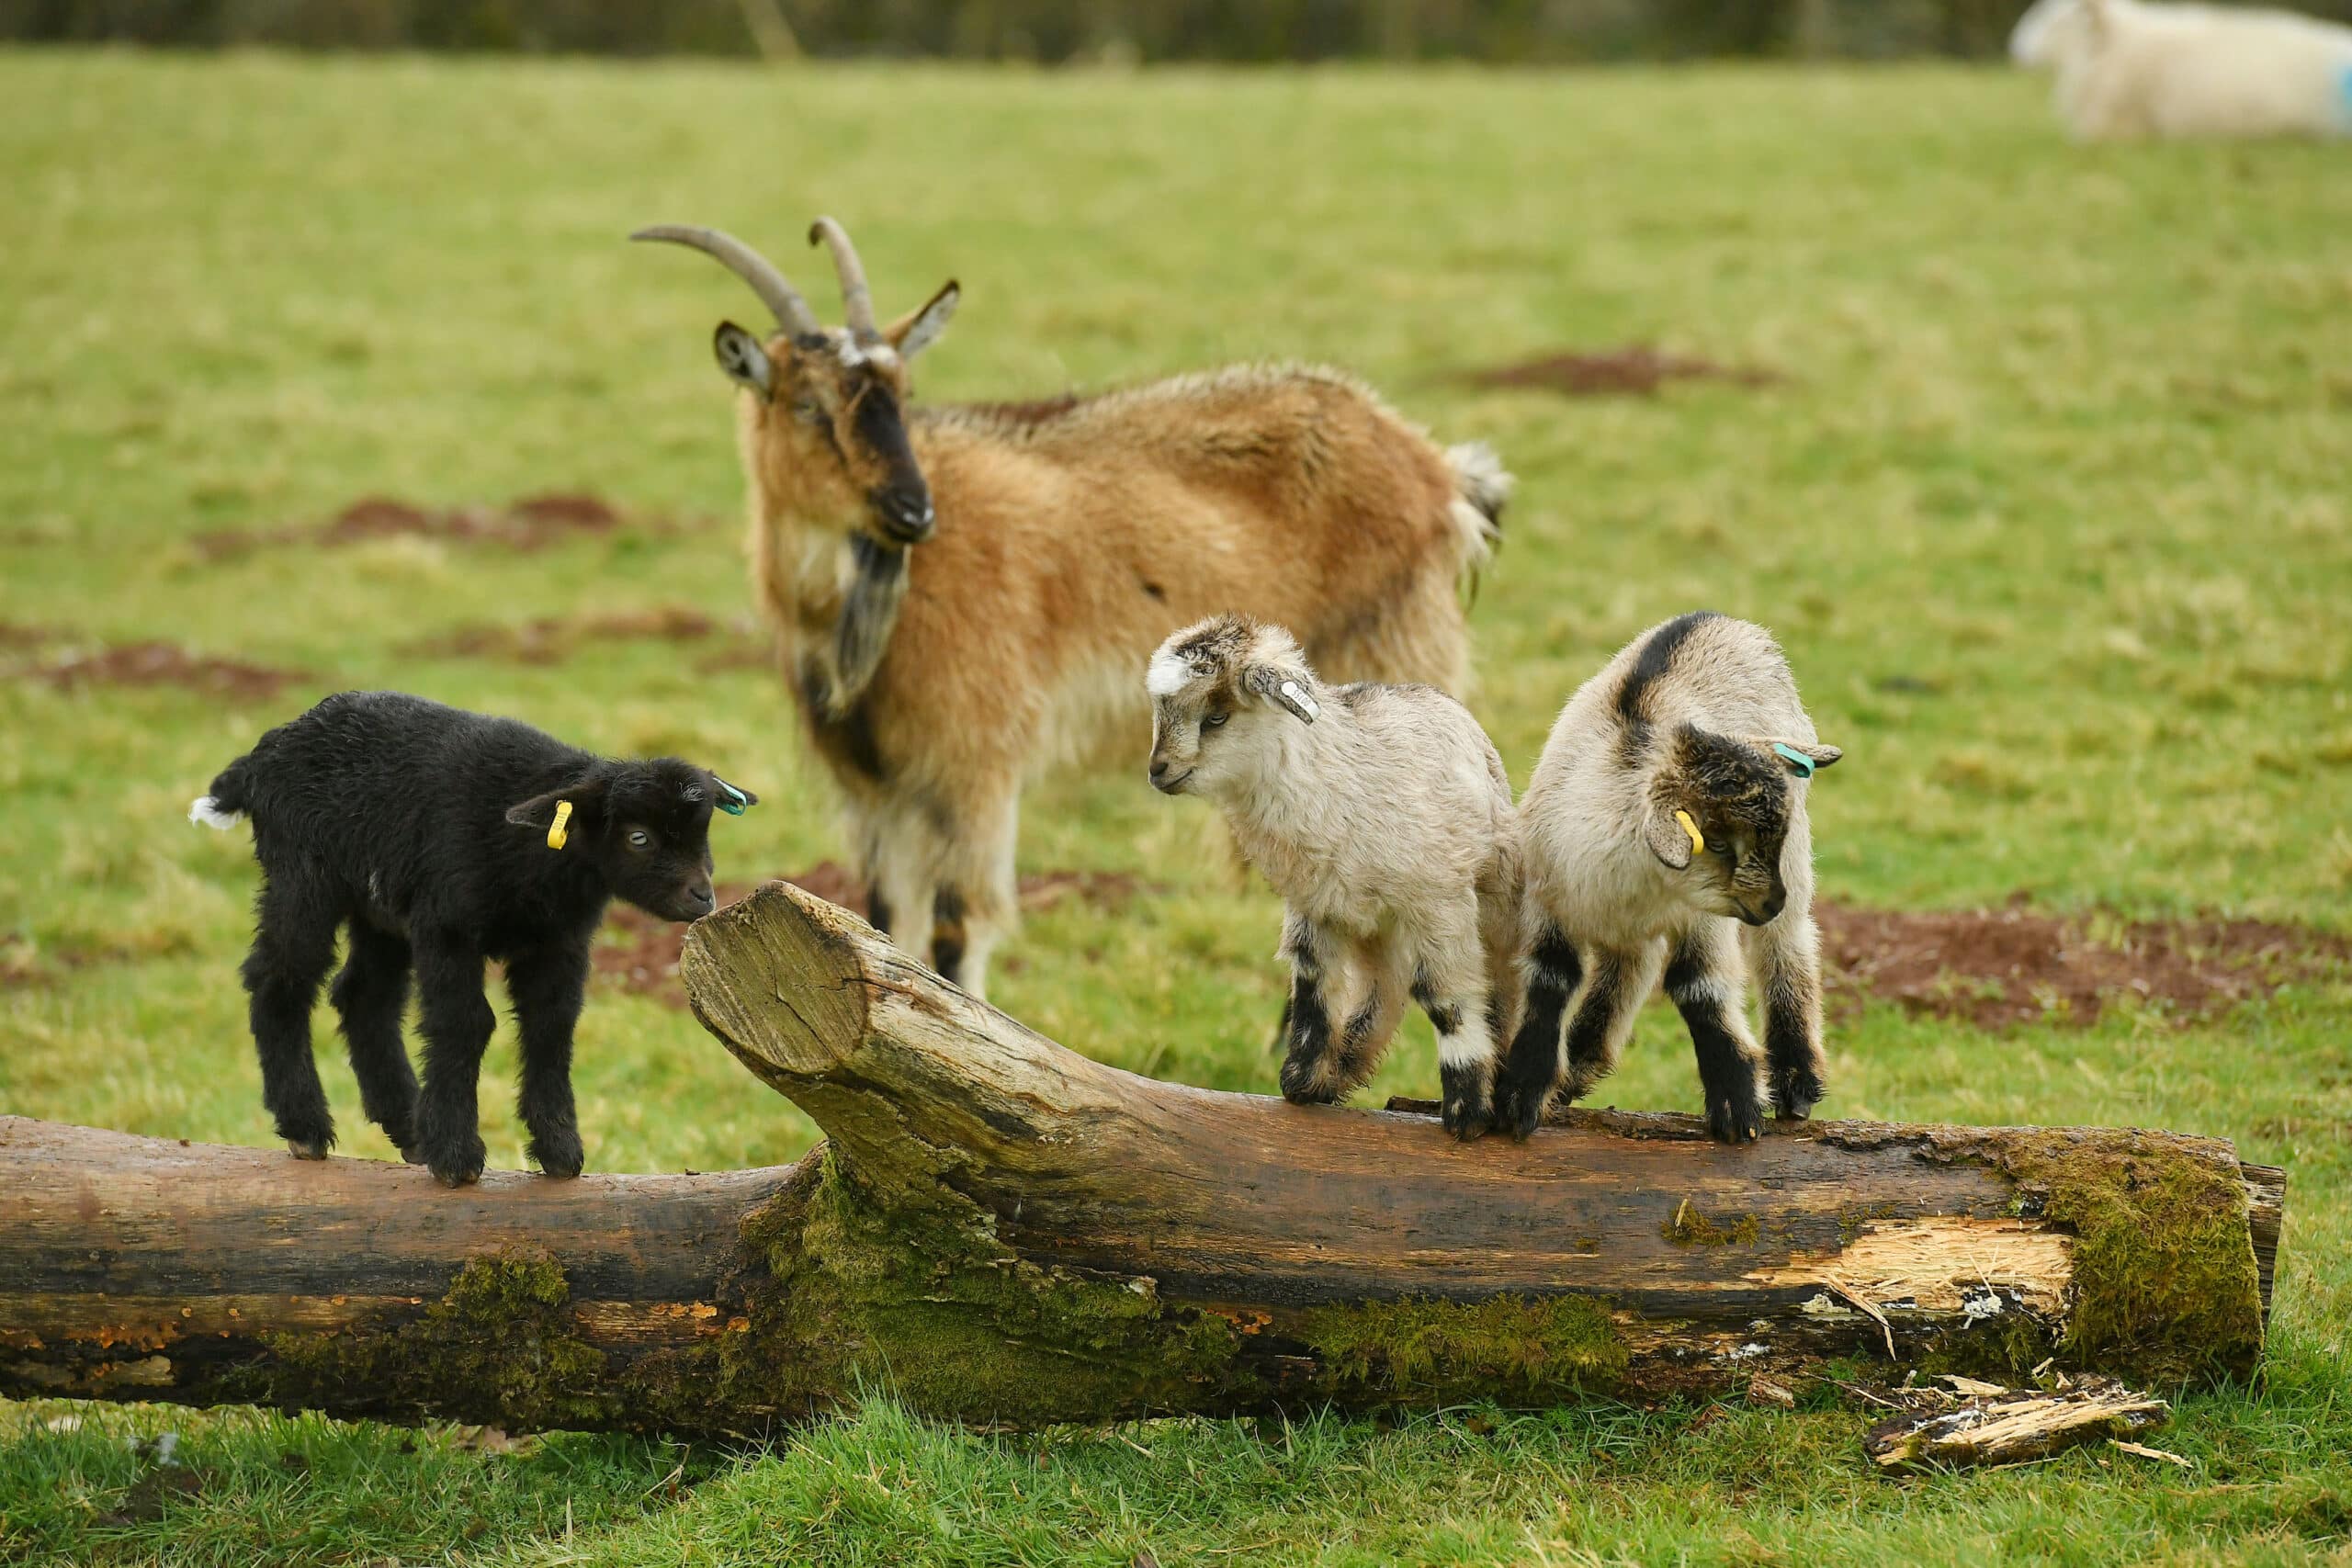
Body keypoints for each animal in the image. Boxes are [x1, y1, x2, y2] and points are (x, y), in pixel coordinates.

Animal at [191, 690, 754, 1186]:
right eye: (639, 838)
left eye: (704, 833)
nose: (702, 897)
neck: (538, 861)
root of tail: (265, 754)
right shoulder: (448, 926)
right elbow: (465, 1023)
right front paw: (456, 1157)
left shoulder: (557, 943)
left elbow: (551, 1027)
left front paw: (559, 1151)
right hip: (303, 877)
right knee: (279, 980)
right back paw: (306, 1125)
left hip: (381, 908)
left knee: (363, 996)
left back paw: (406, 1126)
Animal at [634, 219, 1508, 1000]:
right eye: (808, 406)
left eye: (904, 394)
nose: (914, 510)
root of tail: (1436, 468)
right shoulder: (876, 790)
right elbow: (883, 919)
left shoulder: (973, 764)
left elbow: (955, 927)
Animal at [1146, 616, 1521, 1139]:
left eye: (1216, 717)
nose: (1157, 770)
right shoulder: (1312, 908)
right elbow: (1313, 988)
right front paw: (1302, 1083)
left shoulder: (1438, 902)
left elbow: (1446, 999)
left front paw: (1467, 1114)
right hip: (1375, 924)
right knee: (1385, 986)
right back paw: (1345, 1067)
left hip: (1491, 890)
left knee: (1497, 982)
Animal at [1497, 613, 1841, 1145]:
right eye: (1715, 842)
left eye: (1768, 837)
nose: (1770, 903)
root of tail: (1721, 618)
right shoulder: (1547, 902)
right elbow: (1550, 978)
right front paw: (1521, 1094)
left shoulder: (1704, 918)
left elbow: (1697, 986)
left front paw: (1736, 1105)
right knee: (1631, 964)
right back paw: (1581, 1064)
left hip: (1796, 861)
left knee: (1787, 944)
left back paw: (1797, 1080)